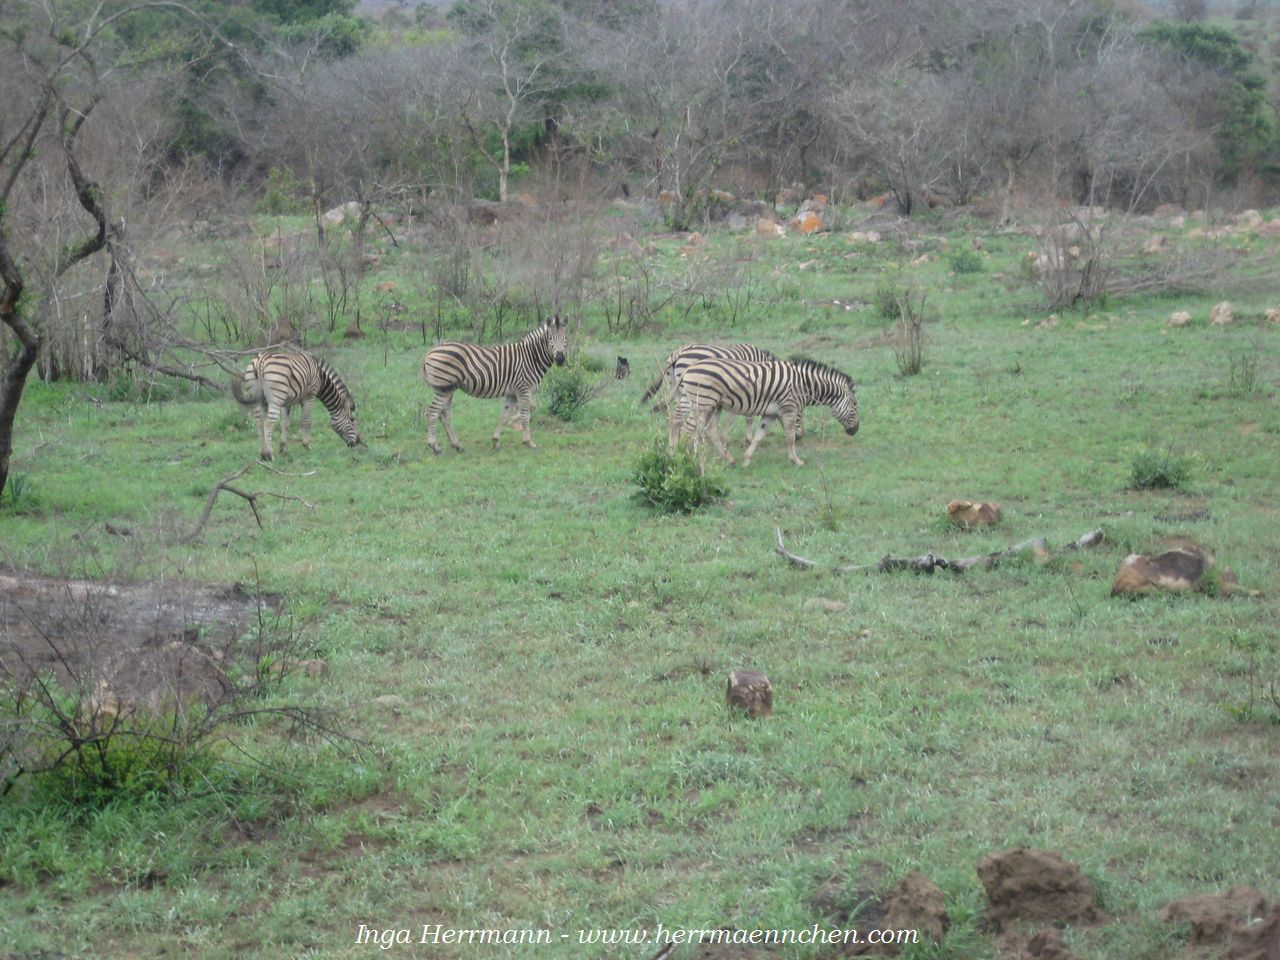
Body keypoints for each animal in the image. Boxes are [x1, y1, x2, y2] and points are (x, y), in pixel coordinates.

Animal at [227, 350, 360, 463]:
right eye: (352, 420)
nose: (358, 443)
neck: (321, 378)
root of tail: (260, 360)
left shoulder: (287, 402)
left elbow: (285, 424)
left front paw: (283, 449)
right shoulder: (309, 396)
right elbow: (306, 421)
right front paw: (307, 446)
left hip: (256, 396)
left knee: (259, 422)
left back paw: (263, 454)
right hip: (276, 398)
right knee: (268, 423)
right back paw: (270, 455)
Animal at [422, 312, 568, 455]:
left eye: (565, 338)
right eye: (550, 339)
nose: (560, 359)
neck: (531, 358)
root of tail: (430, 352)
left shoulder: (512, 393)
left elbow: (504, 417)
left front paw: (496, 441)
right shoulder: (524, 390)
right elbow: (525, 417)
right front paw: (529, 442)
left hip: (448, 389)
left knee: (444, 415)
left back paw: (457, 445)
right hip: (444, 389)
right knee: (432, 413)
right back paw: (435, 446)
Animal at [670, 358, 860, 471]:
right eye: (855, 405)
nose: (856, 430)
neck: (804, 384)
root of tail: (689, 368)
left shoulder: (771, 414)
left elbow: (759, 436)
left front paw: (747, 459)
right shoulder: (789, 408)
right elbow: (790, 437)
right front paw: (795, 460)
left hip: (706, 403)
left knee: (700, 428)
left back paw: (727, 459)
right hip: (702, 403)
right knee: (687, 429)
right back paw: (685, 458)